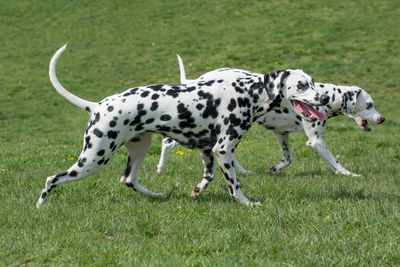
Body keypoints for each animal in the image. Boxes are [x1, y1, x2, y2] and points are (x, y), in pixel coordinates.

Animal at [36, 45, 328, 208]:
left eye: (313, 82)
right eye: (302, 85)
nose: (324, 98)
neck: (247, 92)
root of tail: (97, 105)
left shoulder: (208, 151)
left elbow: (208, 177)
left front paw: (198, 190)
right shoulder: (222, 150)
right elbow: (234, 185)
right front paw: (247, 204)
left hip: (139, 149)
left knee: (128, 179)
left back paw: (156, 195)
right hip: (94, 158)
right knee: (53, 179)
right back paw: (41, 206)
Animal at [155, 56, 384, 178]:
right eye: (369, 104)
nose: (382, 119)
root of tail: (198, 79)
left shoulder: (281, 134)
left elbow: (288, 159)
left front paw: (275, 169)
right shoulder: (316, 141)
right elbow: (335, 162)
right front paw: (349, 174)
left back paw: (243, 171)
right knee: (167, 143)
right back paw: (160, 169)